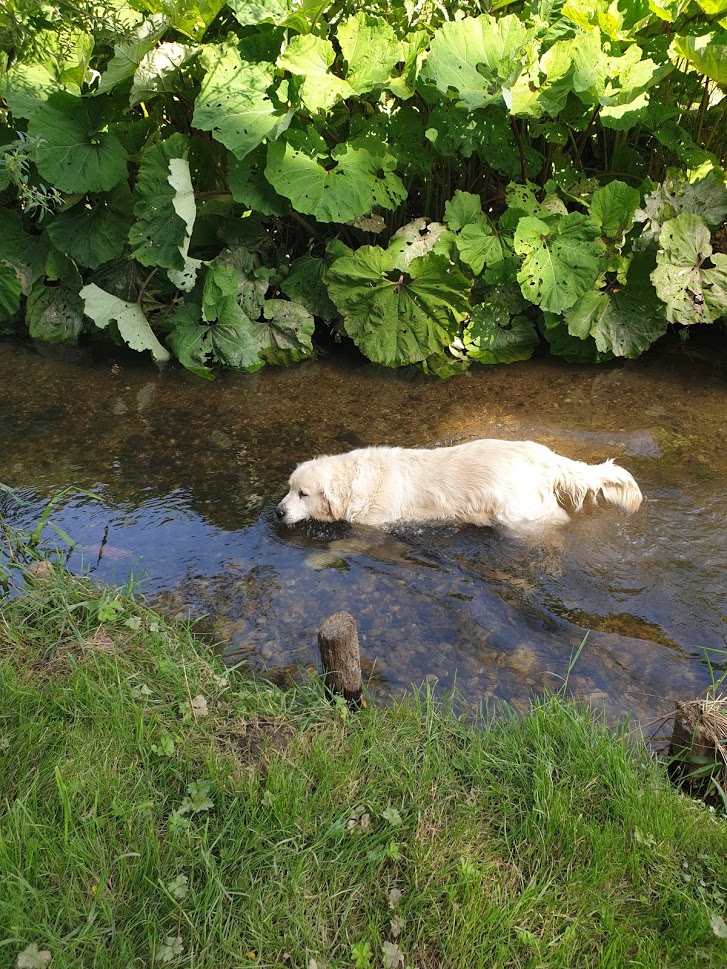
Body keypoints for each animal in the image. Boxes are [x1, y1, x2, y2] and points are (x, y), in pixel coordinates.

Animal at [278, 440, 644, 532]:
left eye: (303, 494)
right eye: (289, 488)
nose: (278, 511)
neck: (356, 481)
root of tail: (542, 456)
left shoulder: (373, 526)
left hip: (519, 515)